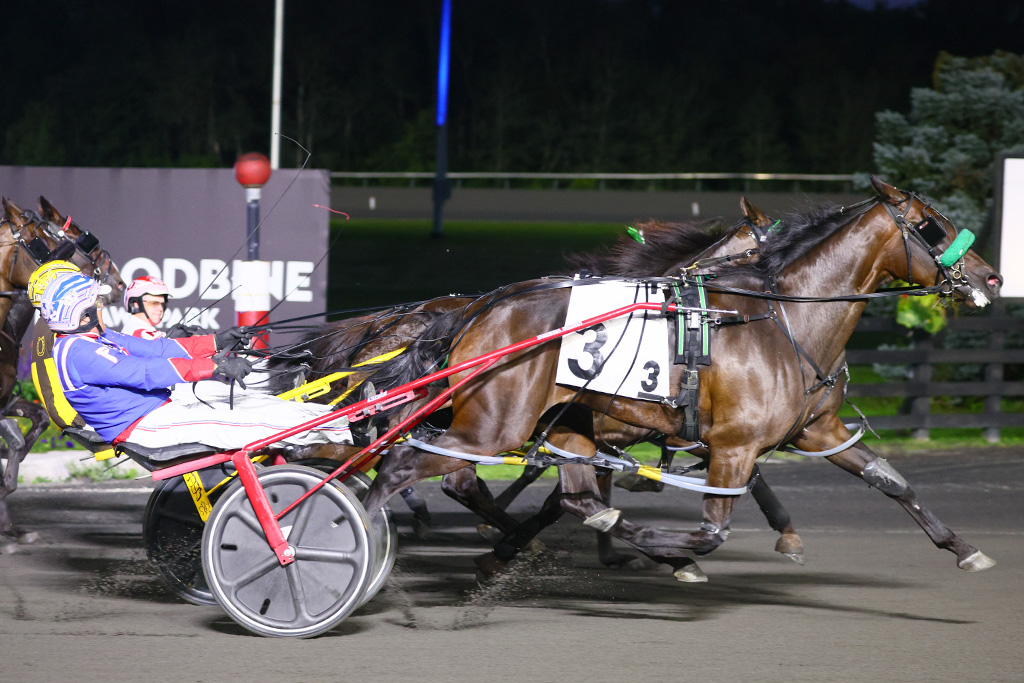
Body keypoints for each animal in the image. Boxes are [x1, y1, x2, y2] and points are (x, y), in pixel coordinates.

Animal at [356, 178, 1003, 577]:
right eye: (932, 225)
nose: (991, 277)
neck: (780, 318)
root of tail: (478, 311)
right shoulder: (731, 443)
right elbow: (711, 526)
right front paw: (668, 553)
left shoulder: (813, 429)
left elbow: (890, 480)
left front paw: (963, 548)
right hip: (497, 423)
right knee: (419, 467)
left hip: (550, 421)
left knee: (525, 488)